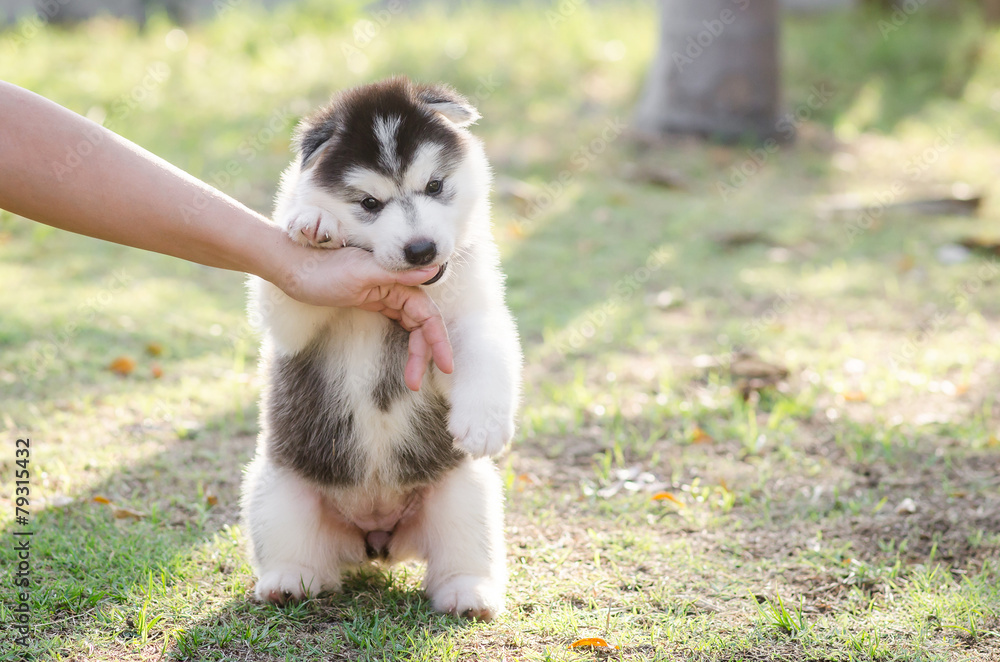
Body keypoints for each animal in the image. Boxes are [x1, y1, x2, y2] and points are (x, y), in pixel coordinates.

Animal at [242, 78, 524, 624]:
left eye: (435, 186)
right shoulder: (294, 320)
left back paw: (468, 592)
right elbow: (290, 297)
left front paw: (483, 422)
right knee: (298, 552)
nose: (421, 250)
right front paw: (314, 219)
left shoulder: (469, 315)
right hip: (275, 489)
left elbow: (486, 353)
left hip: (465, 491)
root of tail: (376, 536)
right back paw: (288, 581)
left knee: (462, 550)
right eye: (369, 202)